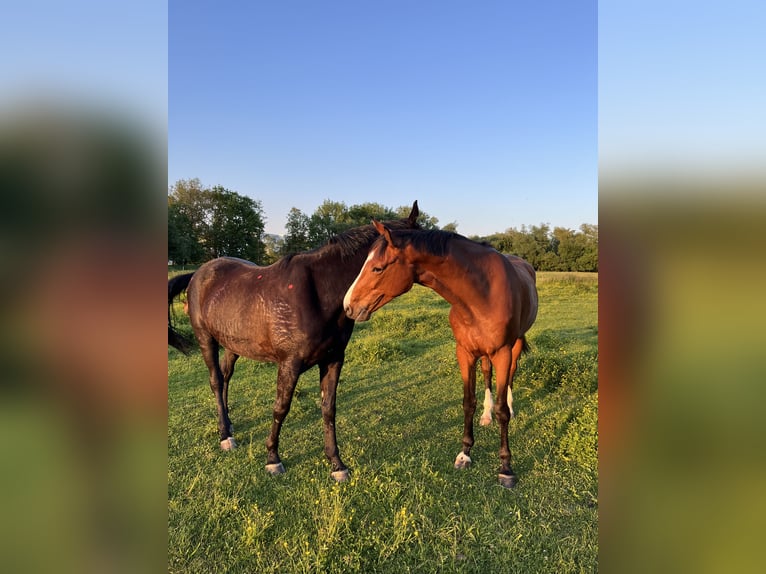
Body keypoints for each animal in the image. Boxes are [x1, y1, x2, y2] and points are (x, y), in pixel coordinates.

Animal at [168, 202, 420, 482]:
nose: (356, 308)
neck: (320, 293)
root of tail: (198, 273)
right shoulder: (290, 363)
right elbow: (281, 407)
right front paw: (272, 458)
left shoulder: (333, 359)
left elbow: (328, 408)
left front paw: (336, 463)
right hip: (206, 340)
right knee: (215, 380)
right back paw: (225, 435)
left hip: (233, 345)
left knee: (226, 376)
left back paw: (229, 424)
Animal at [344, 223, 536, 488]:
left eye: (377, 268)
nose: (348, 306)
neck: (481, 295)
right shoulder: (464, 353)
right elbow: (468, 402)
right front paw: (465, 453)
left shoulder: (503, 352)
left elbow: (502, 412)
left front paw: (506, 468)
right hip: (484, 354)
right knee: (487, 373)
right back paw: (486, 416)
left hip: (514, 346)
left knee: (511, 375)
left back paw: (509, 405)